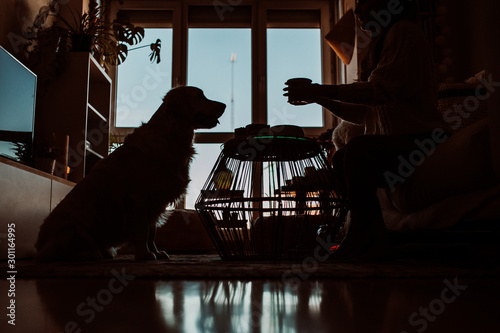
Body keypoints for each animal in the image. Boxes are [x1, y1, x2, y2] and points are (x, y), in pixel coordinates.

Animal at [35, 87, 223, 260]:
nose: (224, 105)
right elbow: (142, 231)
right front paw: (144, 254)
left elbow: (152, 232)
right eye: (199, 95)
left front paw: (155, 252)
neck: (172, 136)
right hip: (75, 227)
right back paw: (92, 254)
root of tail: (39, 248)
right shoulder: (139, 198)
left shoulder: (156, 202)